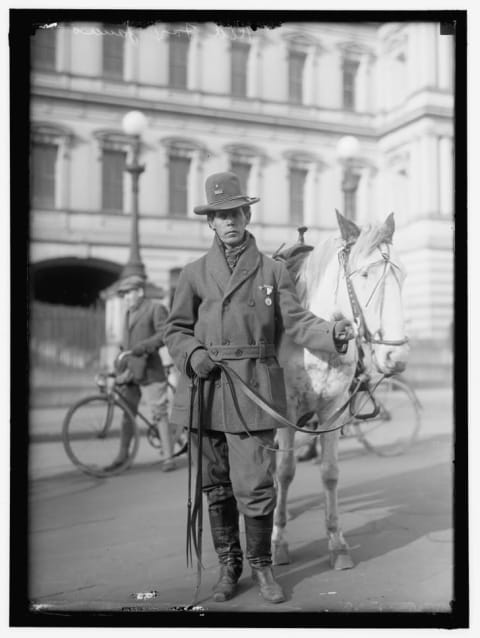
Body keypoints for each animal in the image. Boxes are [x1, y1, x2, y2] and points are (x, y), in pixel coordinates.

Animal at [272, 212, 410, 572]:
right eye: (363, 275)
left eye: (402, 273)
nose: (396, 357)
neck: (315, 338)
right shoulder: (284, 411)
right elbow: (285, 471)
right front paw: (278, 541)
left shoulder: (333, 410)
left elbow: (330, 473)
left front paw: (337, 541)